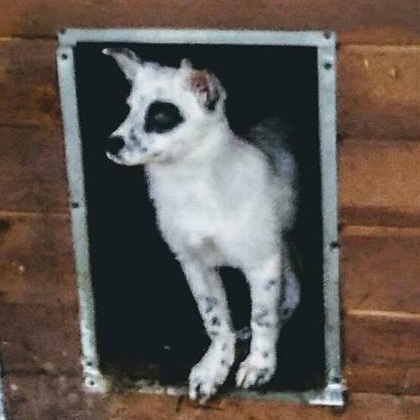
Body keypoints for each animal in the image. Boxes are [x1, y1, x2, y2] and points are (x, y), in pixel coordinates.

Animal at [103, 48, 300, 402]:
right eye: (129, 109)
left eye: (161, 116)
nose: (112, 144)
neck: (193, 183)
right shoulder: (195, 265)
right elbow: (215, 320)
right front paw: (214, 367)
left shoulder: (262, 263)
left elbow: (262, 316)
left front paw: (259, 364)